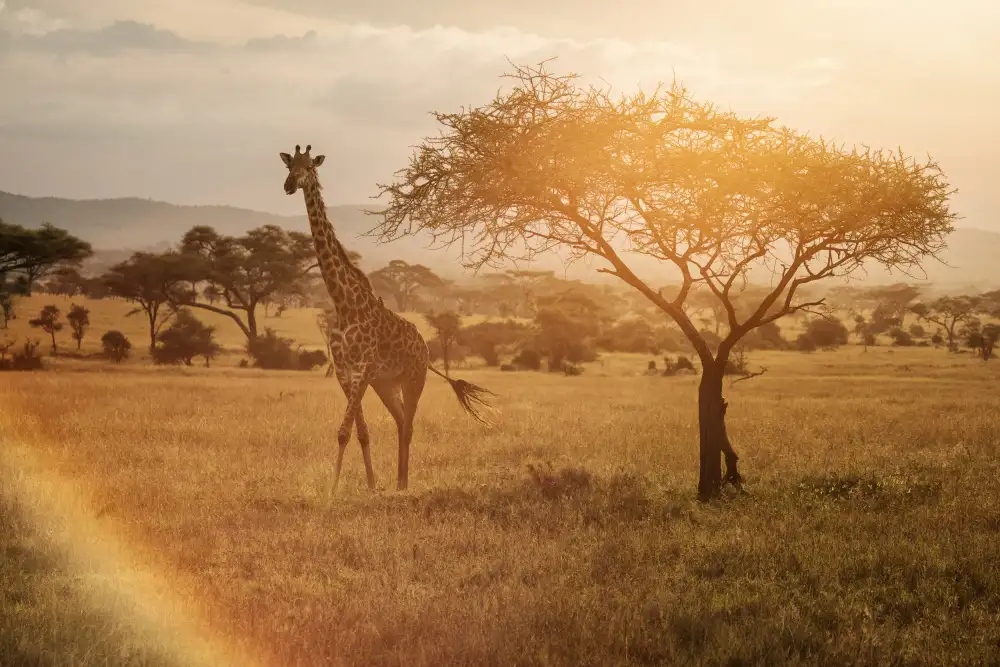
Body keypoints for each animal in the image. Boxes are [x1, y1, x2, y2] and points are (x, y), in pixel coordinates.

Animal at [280, 144, 495, 491]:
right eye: (289, 166)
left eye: (310, 167)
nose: (289, 185)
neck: (343, 303)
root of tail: (424, 346)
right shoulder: (345, 372)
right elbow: (360, 432)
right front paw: (368, 484)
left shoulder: (362, 369)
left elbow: (344, 431)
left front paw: (333, 489)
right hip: (386, 384)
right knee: (399, 420)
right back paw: (398, 481)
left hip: (414, 379)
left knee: (408, 425)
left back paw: (403, 485)